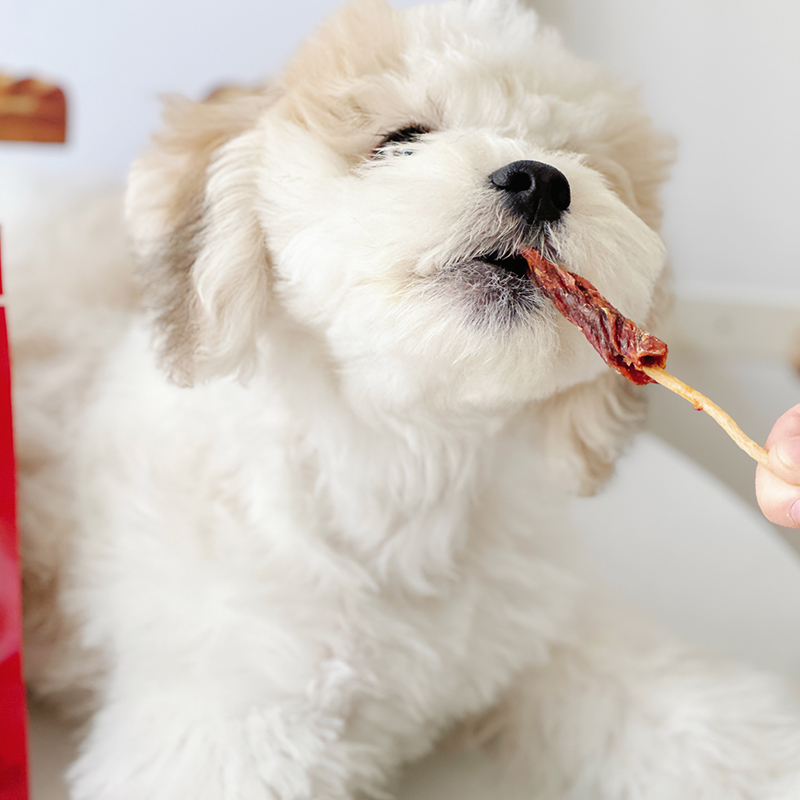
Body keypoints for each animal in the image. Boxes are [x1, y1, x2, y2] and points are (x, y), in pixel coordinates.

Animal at [9, 1, 800, 800]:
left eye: (574, 155)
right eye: (401, 139)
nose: (540, 179)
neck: (406, 456)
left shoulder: (563, 639)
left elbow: (701, 718)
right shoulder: (234, 724)